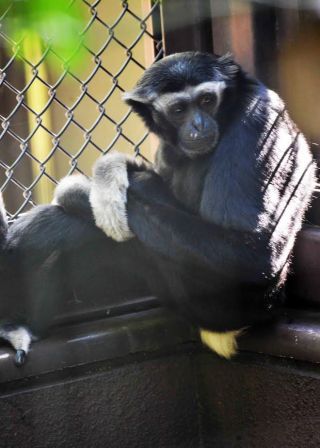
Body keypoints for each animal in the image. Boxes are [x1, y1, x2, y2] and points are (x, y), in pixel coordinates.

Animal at [0, 52, 316, 364]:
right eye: (178, 110)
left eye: (207, 101)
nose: (198, 124)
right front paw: (108, 170)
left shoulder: (257, 119)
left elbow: (254, 251)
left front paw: (80, 190)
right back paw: (18, 325)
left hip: (215, 300)